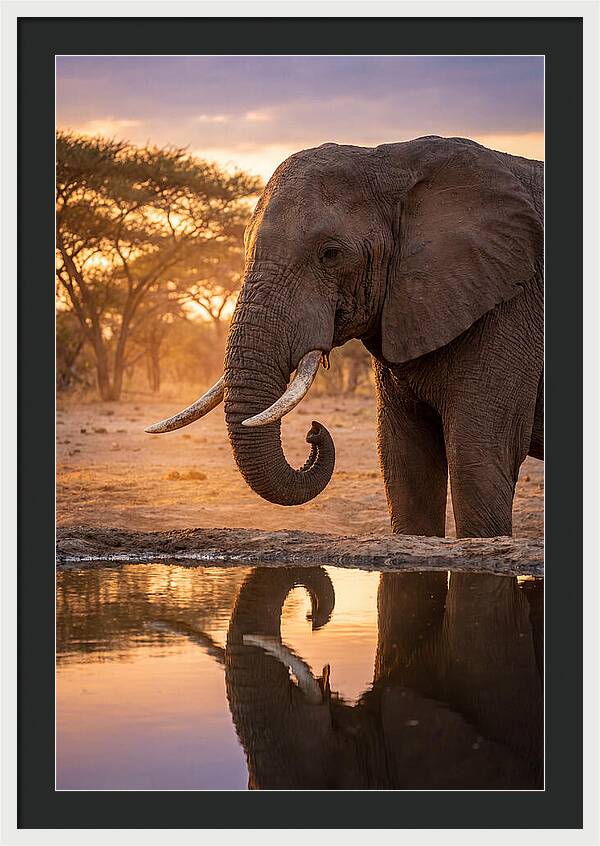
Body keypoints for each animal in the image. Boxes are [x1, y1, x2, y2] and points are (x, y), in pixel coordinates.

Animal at [147, 135, 543, 539]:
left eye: (331, 254)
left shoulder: (511, 306)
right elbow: (405, 462)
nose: (314, 431)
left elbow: (478, 458)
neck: (395, 162)